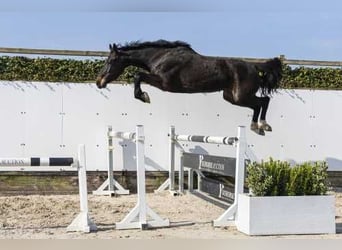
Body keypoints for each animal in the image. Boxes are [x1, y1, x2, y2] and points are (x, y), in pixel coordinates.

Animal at [96, 39, 284, 136]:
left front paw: (144, 96)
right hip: (231, 97)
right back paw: (258, 127)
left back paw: (262, 125)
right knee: (261, 102)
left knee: (263, 101)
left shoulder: (164, 82)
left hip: (240, 96)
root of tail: (255, 67)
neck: (160, 56)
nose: (99, 82)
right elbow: (139, 76)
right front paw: (143, 96)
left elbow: (138, 76)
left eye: (111, 61)